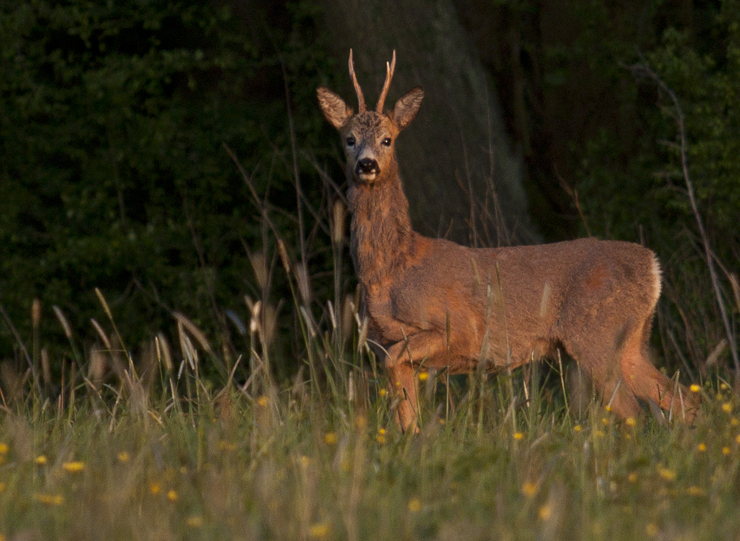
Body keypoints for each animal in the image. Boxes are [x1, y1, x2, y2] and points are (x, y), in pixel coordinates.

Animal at [316, 49, 700, 430]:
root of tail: (653, 267)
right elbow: (405, 415)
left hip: (596, 337)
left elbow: (401, 375)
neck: (395, 267)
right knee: (684, 399)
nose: (367, 165)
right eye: (349, 139)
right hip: (630, 344)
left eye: (388, 139)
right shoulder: (387, 346)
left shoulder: (458, 328)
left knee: (634, 412)